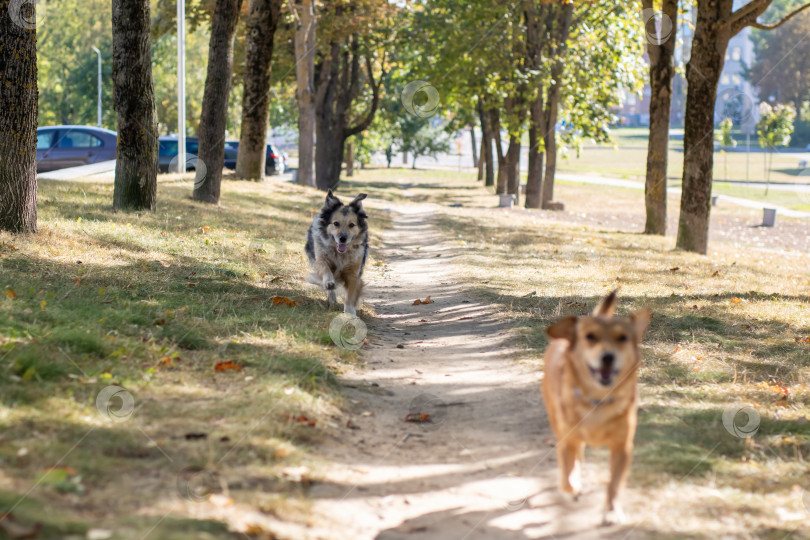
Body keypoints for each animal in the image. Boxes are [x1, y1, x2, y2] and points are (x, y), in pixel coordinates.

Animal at [544, 292, 652, 524]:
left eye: (622, 338)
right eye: (590, 336)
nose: (608, 357)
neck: (598, 400)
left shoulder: (622, 447)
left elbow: (615, 484)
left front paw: (611, 510)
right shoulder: (567, 441)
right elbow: (567, 477)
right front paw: (574, 486)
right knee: (576, 460)